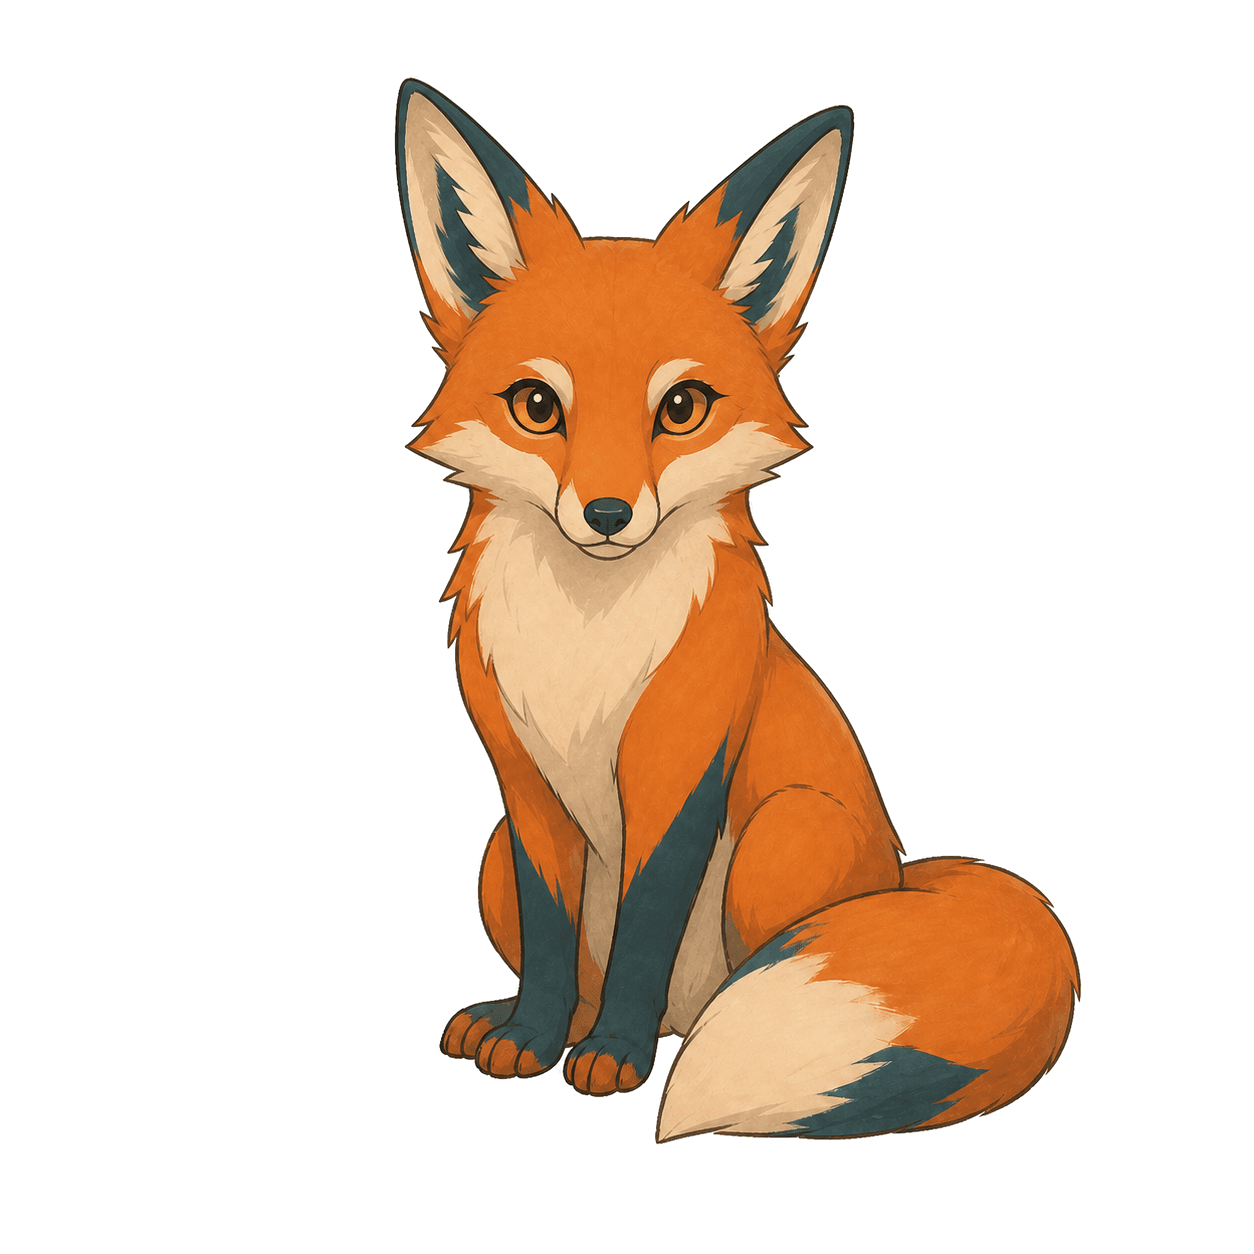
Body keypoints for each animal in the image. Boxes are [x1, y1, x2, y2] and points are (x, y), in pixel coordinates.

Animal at [394, 79, 1080, 1143]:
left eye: (681, 409)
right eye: (538, 408)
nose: (607, 515)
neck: (584, 647)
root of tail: (903, 876)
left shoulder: (683, 767)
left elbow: (646, 922)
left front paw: (615, 1057)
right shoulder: (524, 789)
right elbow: (553, 939)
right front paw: (535, 1038)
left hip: (784, 836)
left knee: (723, 989)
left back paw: (662, 1036)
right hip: (492, 860)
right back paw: (533, 1020)